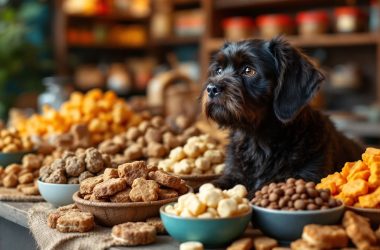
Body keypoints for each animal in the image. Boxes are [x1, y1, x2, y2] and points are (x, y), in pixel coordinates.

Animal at [203, 37, 364, 197]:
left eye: (248, 70)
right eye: (218, 70)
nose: (211, 89)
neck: (258, 141)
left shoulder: (309, 176)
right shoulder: (233, 174)